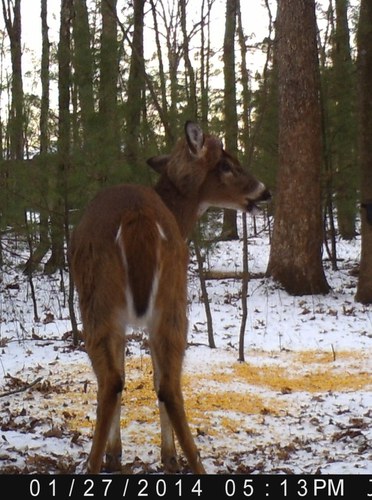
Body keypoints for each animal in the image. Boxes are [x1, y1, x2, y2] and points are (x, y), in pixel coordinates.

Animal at [69, 120, 270, 472]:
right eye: (227, 164)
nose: (264, 191)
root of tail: (137, 217)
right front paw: (156, 454)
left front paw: (118, 453)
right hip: (169, 297)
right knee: (168, 385)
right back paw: (193, 464)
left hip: (101, 303)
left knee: (114, 381)